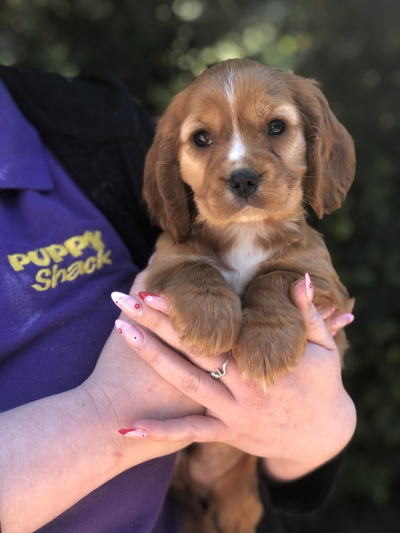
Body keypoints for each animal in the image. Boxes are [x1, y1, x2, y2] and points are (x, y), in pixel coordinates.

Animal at [142, 59, 354, 532]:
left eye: (276, 127)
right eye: (202, 138)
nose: (242, 179)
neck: (245, 234)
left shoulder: (325, 284)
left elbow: (275, 278)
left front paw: (266, 343)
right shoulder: (160, 265)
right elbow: (195, 265)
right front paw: (209, 320)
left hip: (241, 501)